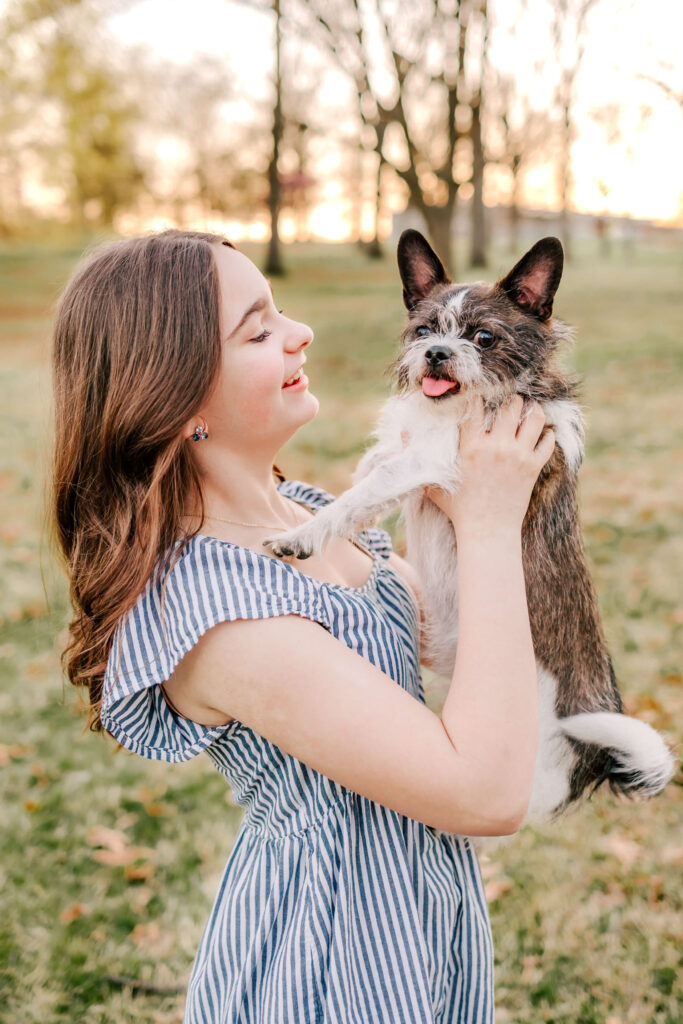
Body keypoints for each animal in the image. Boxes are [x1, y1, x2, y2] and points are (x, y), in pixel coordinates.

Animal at [264, 230, 675, 823]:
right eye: (424, 331)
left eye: (483, 337)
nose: (437, 353)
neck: (459, 408)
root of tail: (592, 759)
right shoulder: (408, 453)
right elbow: (370, 473)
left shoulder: (430, 461)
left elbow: (363, 490)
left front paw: (304, 534)